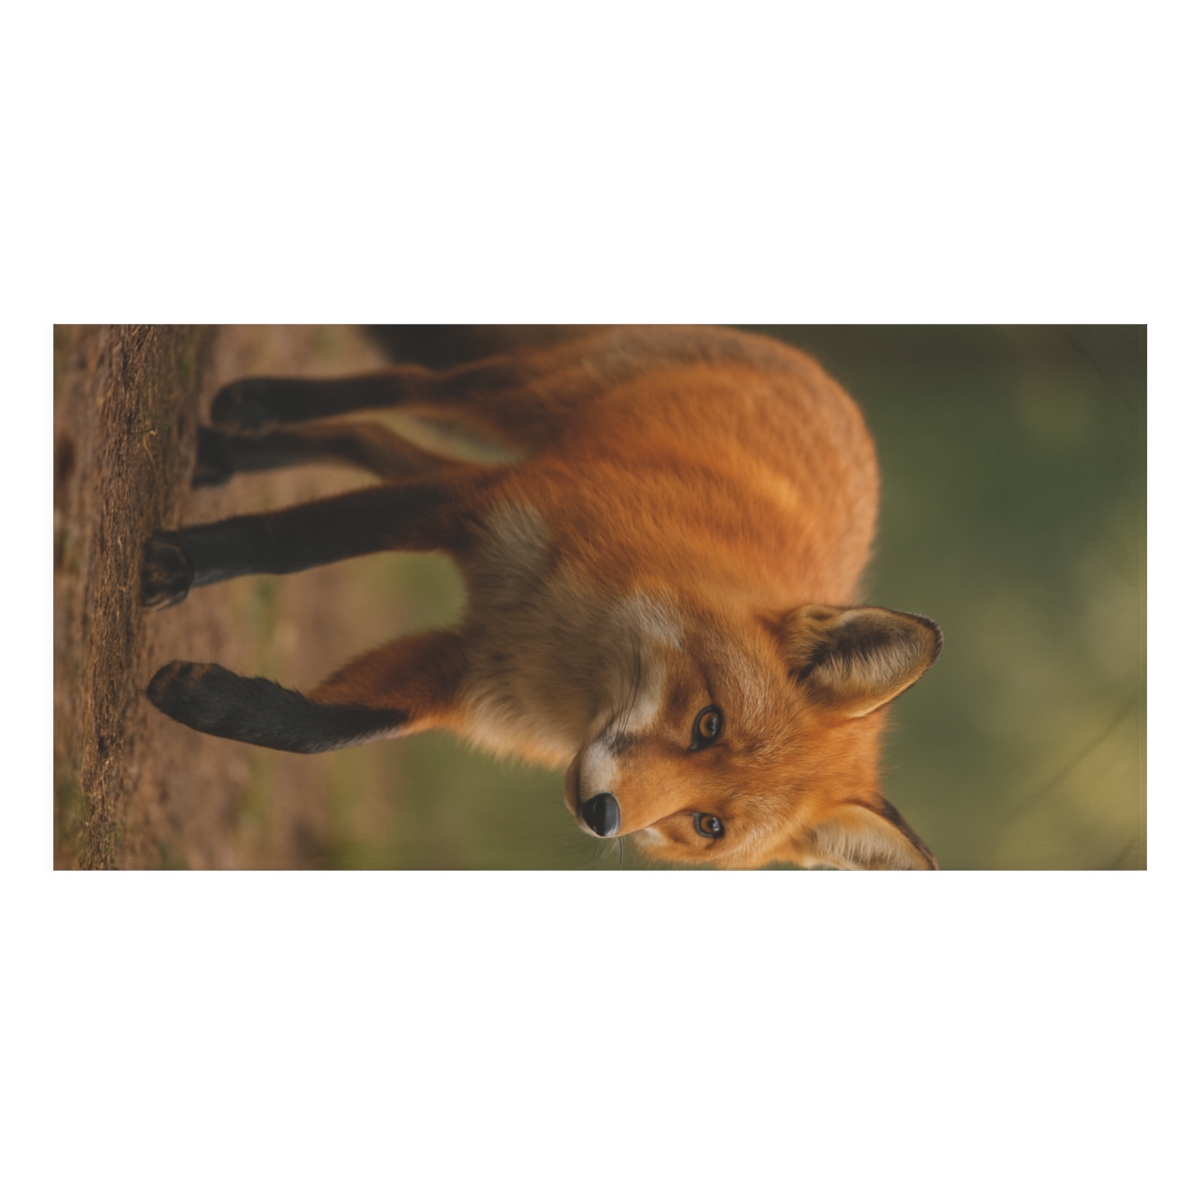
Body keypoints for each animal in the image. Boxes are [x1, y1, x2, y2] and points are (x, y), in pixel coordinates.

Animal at [141, 326, 943, 869]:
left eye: (708, 826)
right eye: (709, 724)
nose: (603, 815)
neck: (571, 654)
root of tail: (836, 393)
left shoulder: (472, 675)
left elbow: (323, 728)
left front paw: (203, 698)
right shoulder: (479, 507)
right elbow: (290, 540)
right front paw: (177, 563)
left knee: (374, 439)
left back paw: (230, 451)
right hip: (514, 400)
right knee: (406, 383)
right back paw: (259, 404)